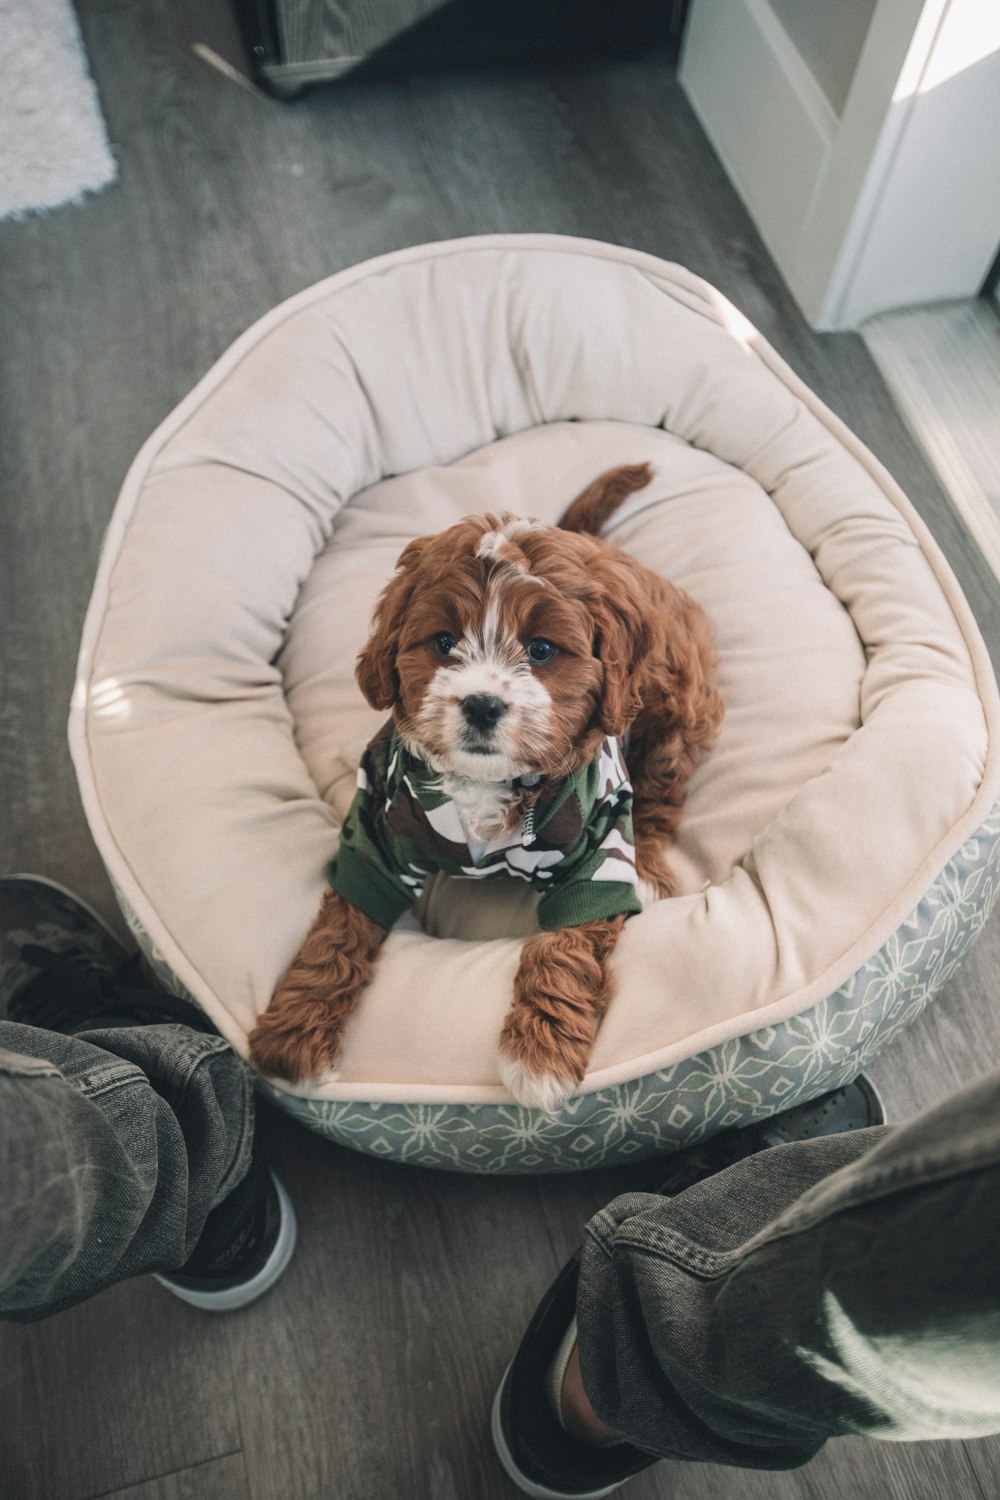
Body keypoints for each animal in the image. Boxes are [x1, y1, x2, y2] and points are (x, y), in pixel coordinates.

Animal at [247, 468, 722, 1116]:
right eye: (444, 641)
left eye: (542, 649)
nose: (481, 704)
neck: (487, 782)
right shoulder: (378, 834)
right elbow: (341, 926)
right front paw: (296, 1032)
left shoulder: (595, 851)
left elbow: (566, 945)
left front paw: (540, 1054)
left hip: (676, 706)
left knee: (661, 791)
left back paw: (647, 864)